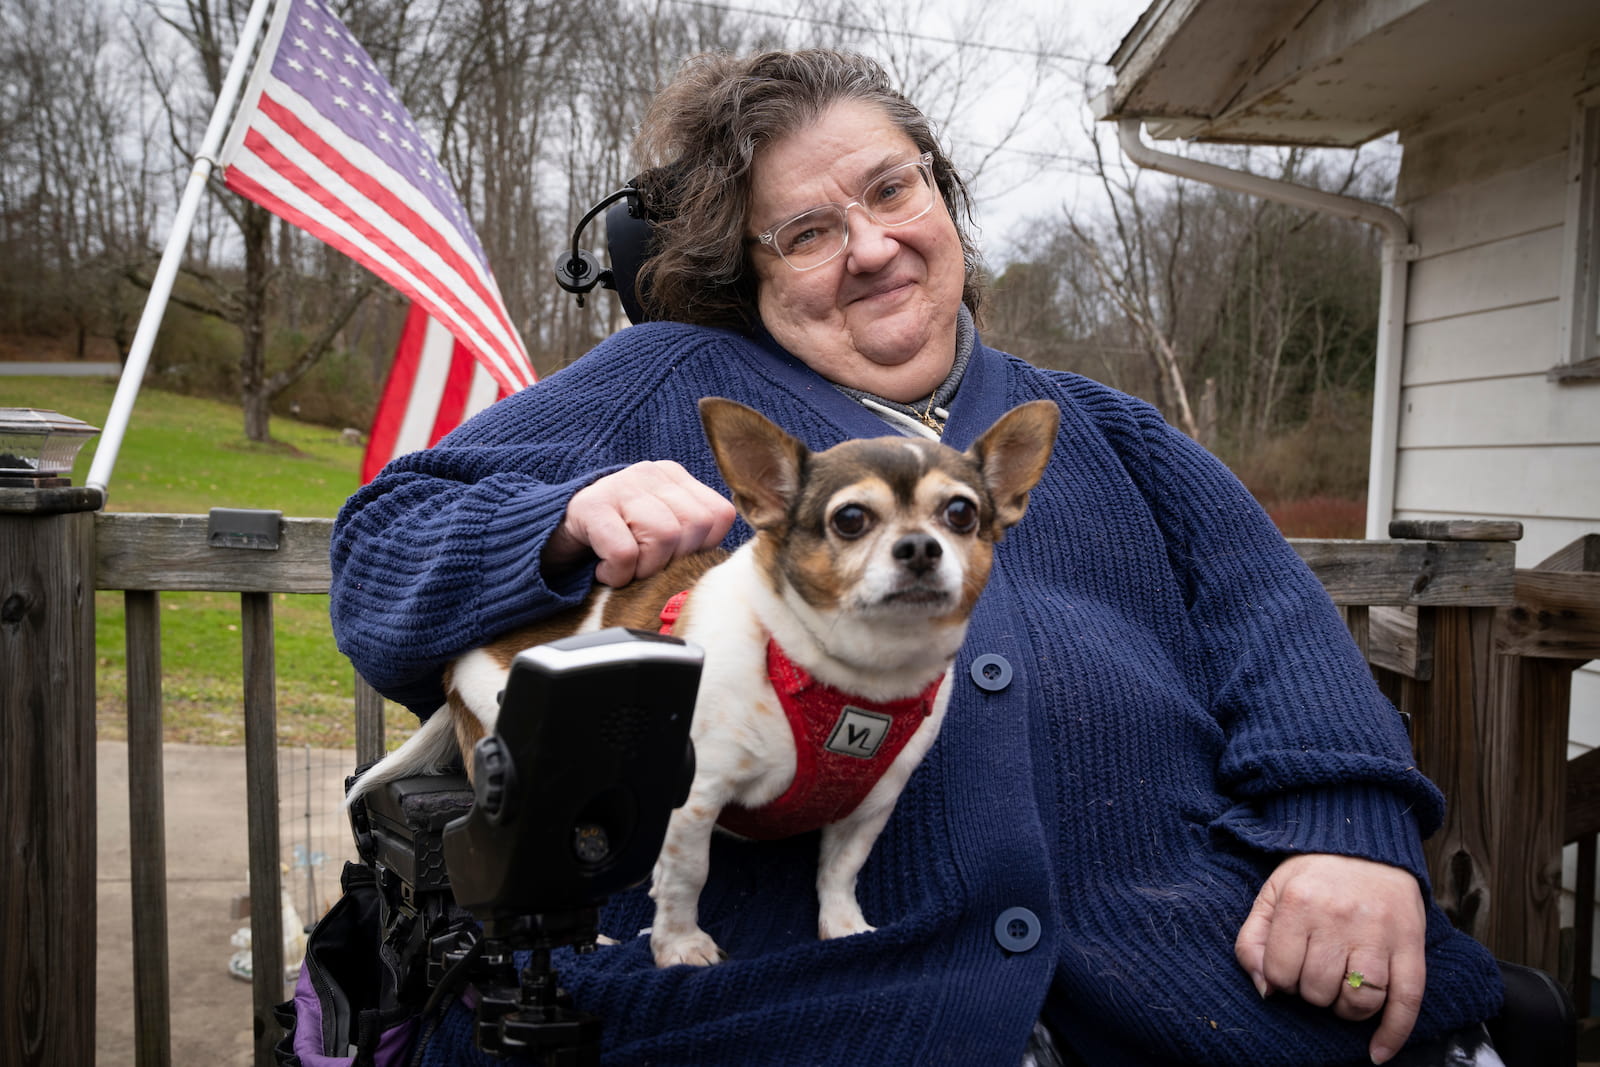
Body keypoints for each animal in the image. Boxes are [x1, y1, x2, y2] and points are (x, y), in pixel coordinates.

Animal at [344, 396, 1056, 972]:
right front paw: (680, 946)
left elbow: (840, 869)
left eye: (961, 513)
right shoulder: (696, 797)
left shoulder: (869, 807)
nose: (920, 548)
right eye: (850, 519)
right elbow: (689, 875)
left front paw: (843, 925)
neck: (844, 676)